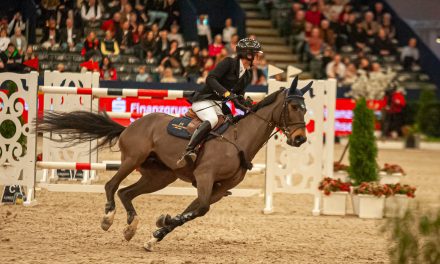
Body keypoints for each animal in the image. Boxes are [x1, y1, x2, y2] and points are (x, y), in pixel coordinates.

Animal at [37, 77, 312, 252]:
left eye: (306, 108)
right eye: (293, 106)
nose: (300, 139)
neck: (238, 139)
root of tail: (130, 125)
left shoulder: (219, 189)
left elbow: (194, 211)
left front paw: (158, 231)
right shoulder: (205, 177)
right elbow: (200, 209)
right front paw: (163, 223)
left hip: (159, 177)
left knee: (126, 192)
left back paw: (131, 227)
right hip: (132, 160)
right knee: (111, 185)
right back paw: (108, 217)